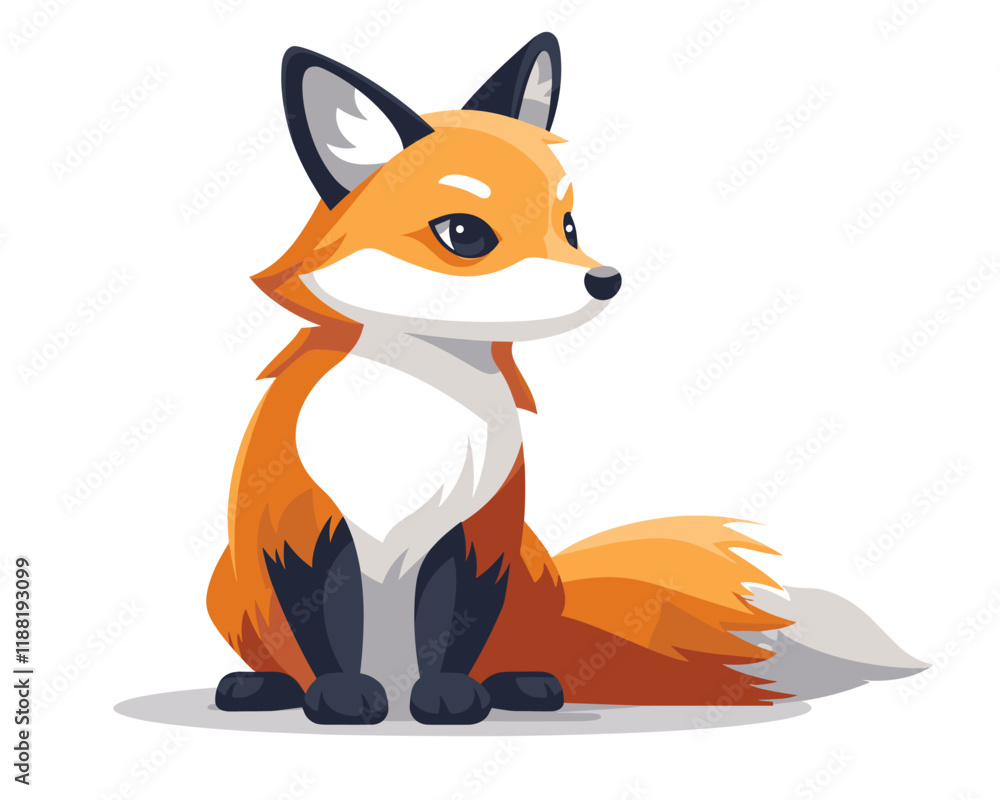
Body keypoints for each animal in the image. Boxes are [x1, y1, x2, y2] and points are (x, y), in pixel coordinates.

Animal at [207, 33, 927, 725]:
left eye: (569, 226)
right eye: (463, 233)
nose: (604, 280)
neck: (420, 403)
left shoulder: (478, 538)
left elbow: (450, 627)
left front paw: (447, 697)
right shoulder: (301, 532)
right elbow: (328, 628)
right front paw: (341, 696)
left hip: (526, 573)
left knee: (518, 653)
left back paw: (521, 685)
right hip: (228, 586)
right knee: (281, 655)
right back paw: (264, 686)